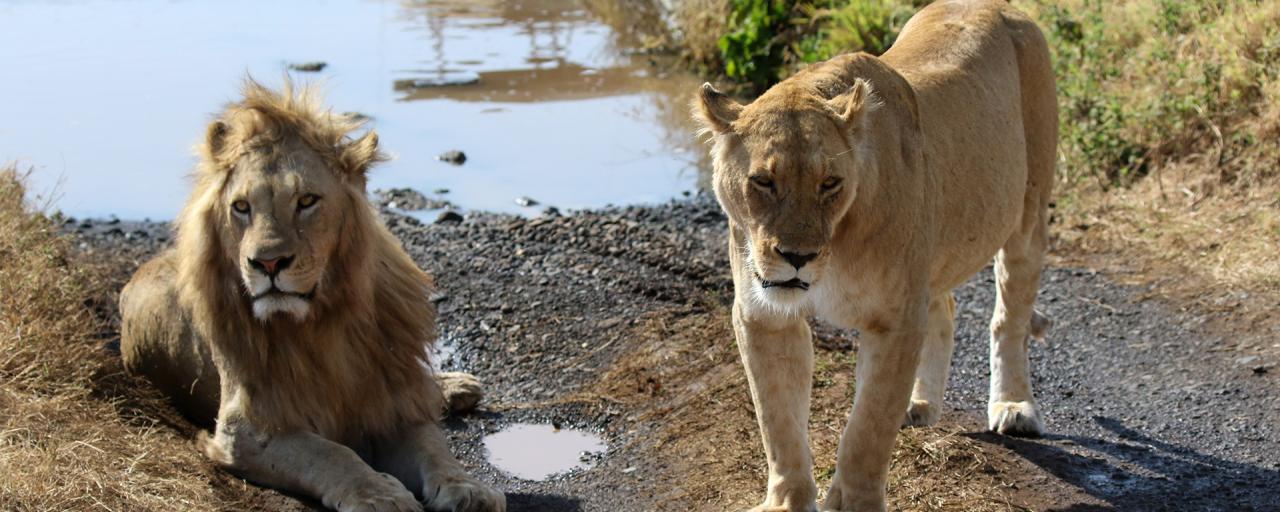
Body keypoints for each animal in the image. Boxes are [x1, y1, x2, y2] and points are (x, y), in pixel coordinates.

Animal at [120, 80, 504, 512]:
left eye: (306, 201)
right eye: (241, 207)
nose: (268, 263)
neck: (324, 321)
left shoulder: (390, 402)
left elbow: (434, 449)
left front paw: (468, 488)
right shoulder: (245, 429)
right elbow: (331, 453)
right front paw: (378, 494)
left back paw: (455, 385)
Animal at [696, 2, 1054, 509]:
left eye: (830, 183)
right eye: (763, 182)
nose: (797, 256)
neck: (837, 246)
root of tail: (1001, 7)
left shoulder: (894, 320)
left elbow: (867, 429)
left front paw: (852, 502)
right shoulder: (764, 317)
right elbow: (777, 421)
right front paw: (787, 500)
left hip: (1028, 211)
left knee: (1010, 317)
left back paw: (1014, 405)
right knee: (944, 304)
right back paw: (920, 403)